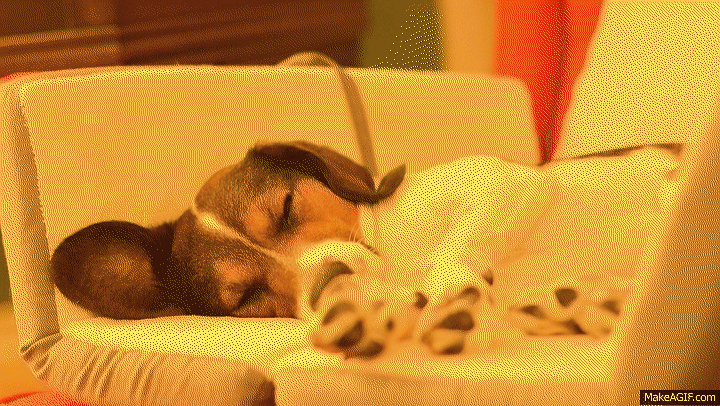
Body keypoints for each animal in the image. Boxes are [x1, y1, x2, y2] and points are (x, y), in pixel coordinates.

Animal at [50, 141, 682, 358]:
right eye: (246, 297)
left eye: (286, 208)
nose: (330, 281)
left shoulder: (498, 182)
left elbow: (460, 244)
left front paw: (446, 289)